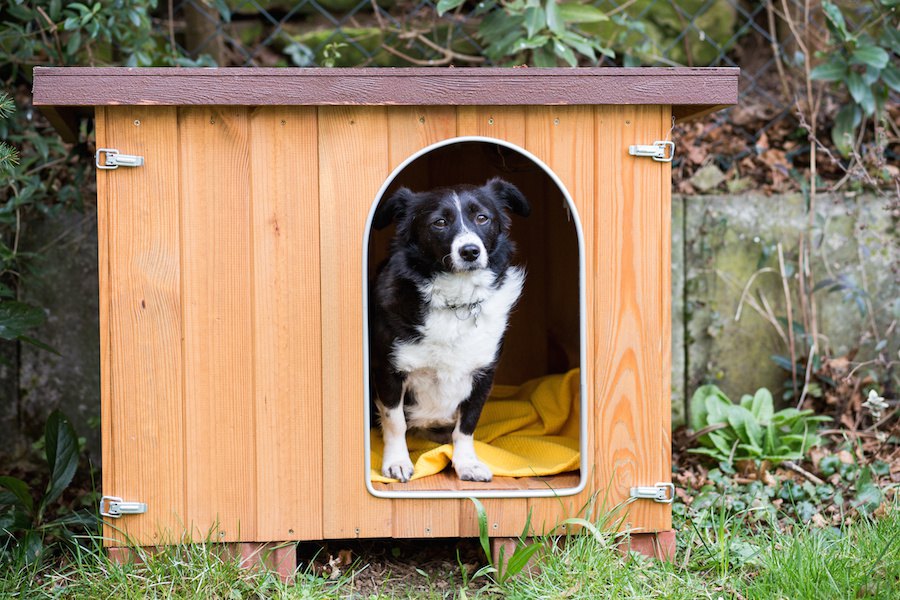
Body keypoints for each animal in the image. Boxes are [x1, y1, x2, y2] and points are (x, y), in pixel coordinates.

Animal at [370, 178, 532, 482]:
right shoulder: (388, 371)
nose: (470, 251)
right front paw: (397, 461)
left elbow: (467, 424)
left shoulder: (483, 374)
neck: (457, 301)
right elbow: (395, 421)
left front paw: (466, 462)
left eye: (482, 218)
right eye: (440, 222)